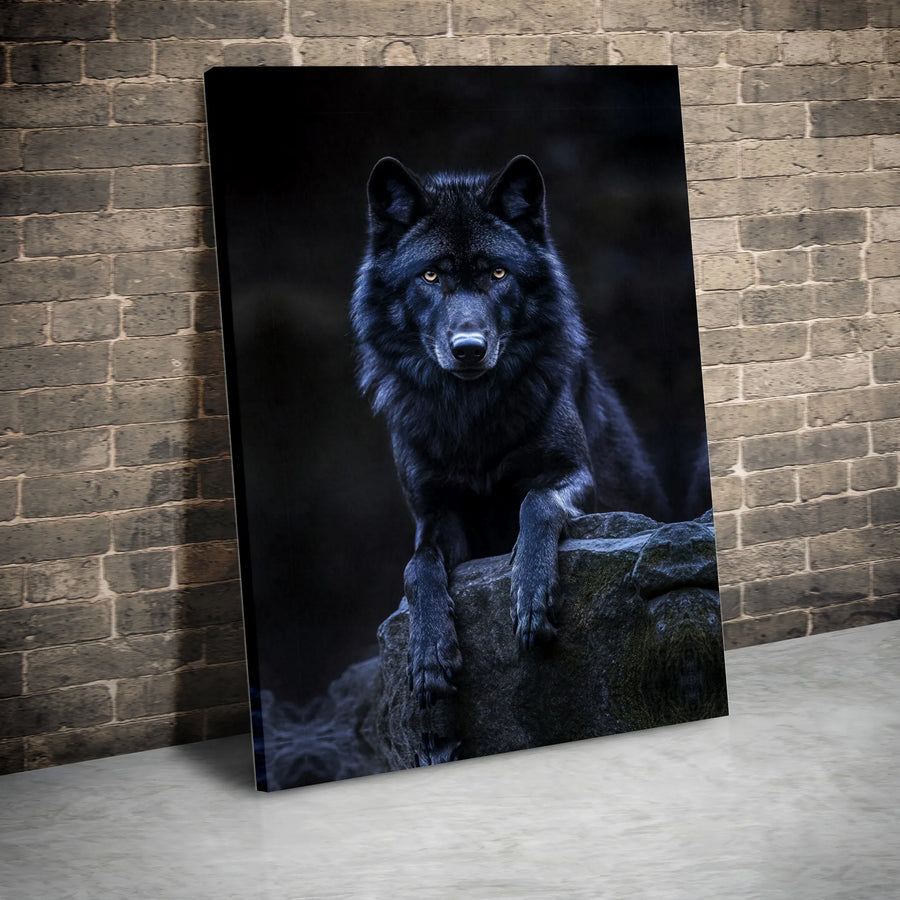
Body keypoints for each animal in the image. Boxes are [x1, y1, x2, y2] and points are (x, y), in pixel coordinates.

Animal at [351, 155, 668, 708]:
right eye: (431, 275)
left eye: (498, 273)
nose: (469, 349)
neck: (472, 419)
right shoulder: (434, 513)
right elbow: (417, 567)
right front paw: (429, 653)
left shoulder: (574, 475)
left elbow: (535, 504)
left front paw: (531, 593)